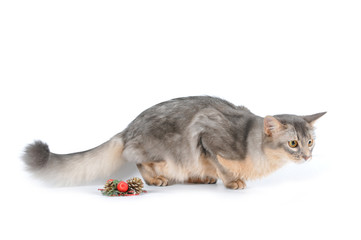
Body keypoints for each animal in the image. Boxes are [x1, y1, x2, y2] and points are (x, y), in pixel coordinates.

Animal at [23, 96, 326, 188]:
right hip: (160, 150)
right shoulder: (207, 134)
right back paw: (156, 180)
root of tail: (128, 128)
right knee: (139, 161)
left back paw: (200, 178)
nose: (307, 157)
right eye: (293, 144)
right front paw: (232, 181)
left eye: (310, 142)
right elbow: (222, 164)